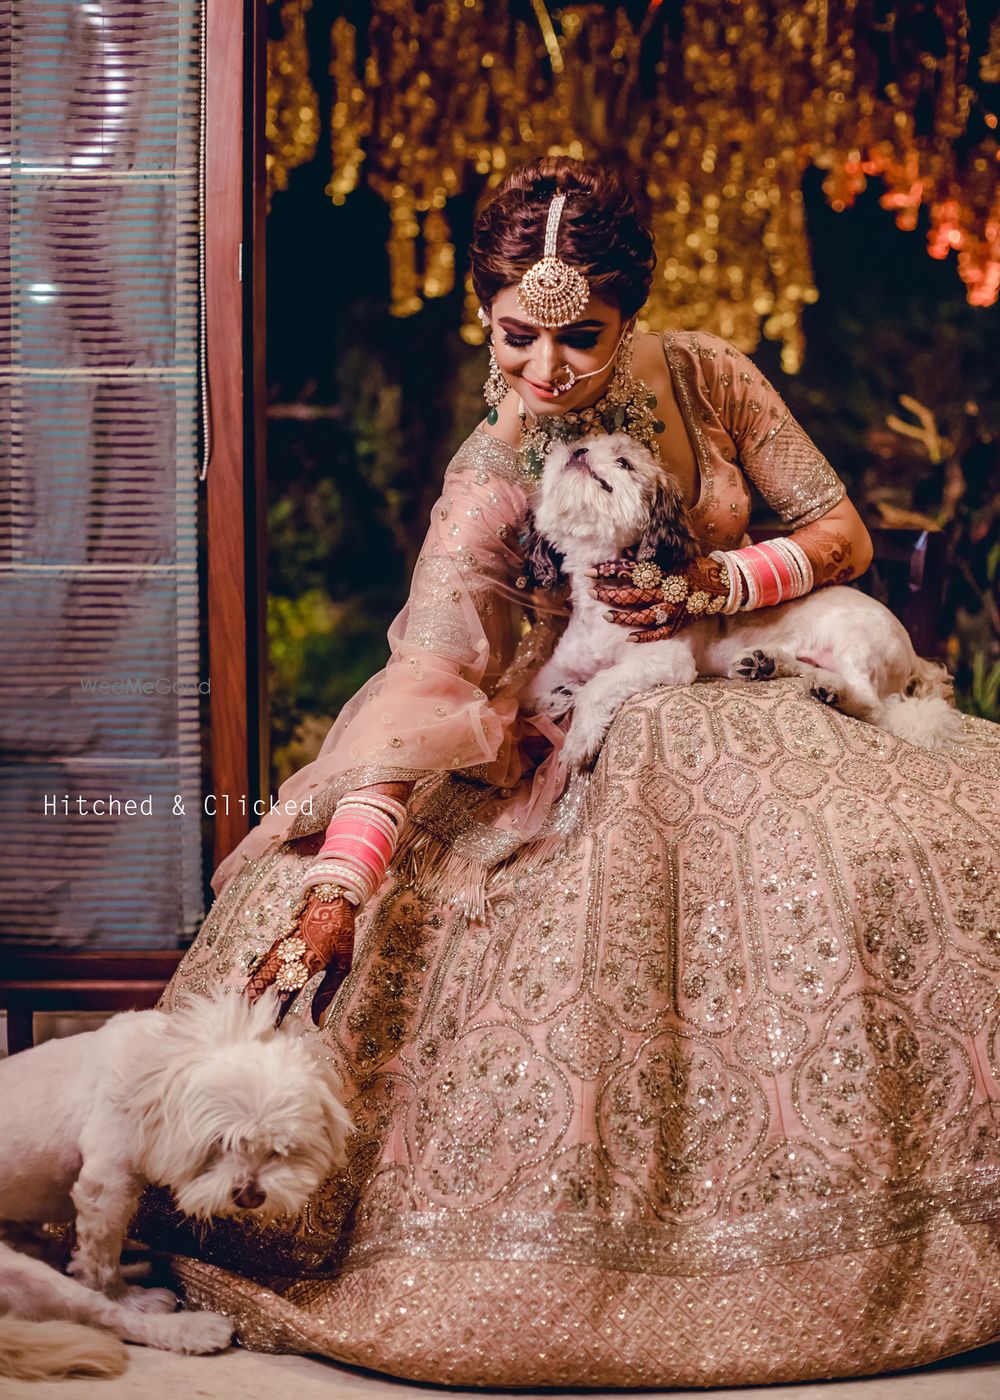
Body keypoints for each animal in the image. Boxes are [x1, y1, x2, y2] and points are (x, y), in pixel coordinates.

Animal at [0, 991, 350, 1383]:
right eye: (221, 1141)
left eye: (281, 1147)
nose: (250, 1196)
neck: (158, 1067)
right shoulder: (106, 1186)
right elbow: (102, 1262)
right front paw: (119, 1291)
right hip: (19, 1272)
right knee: (102, 1316)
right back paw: (181, 1324)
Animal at [526, 434, 963, 772]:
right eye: (579, 443)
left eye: (624, 462)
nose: (578, 450)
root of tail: (915, 657)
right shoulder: (556, 665)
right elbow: (530, 695)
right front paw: (558, 698)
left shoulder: (661, 658)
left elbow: (598, 686)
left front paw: (578, 739)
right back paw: (767, 664)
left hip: (856, 640)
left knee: (873, 706)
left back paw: (832, 691)